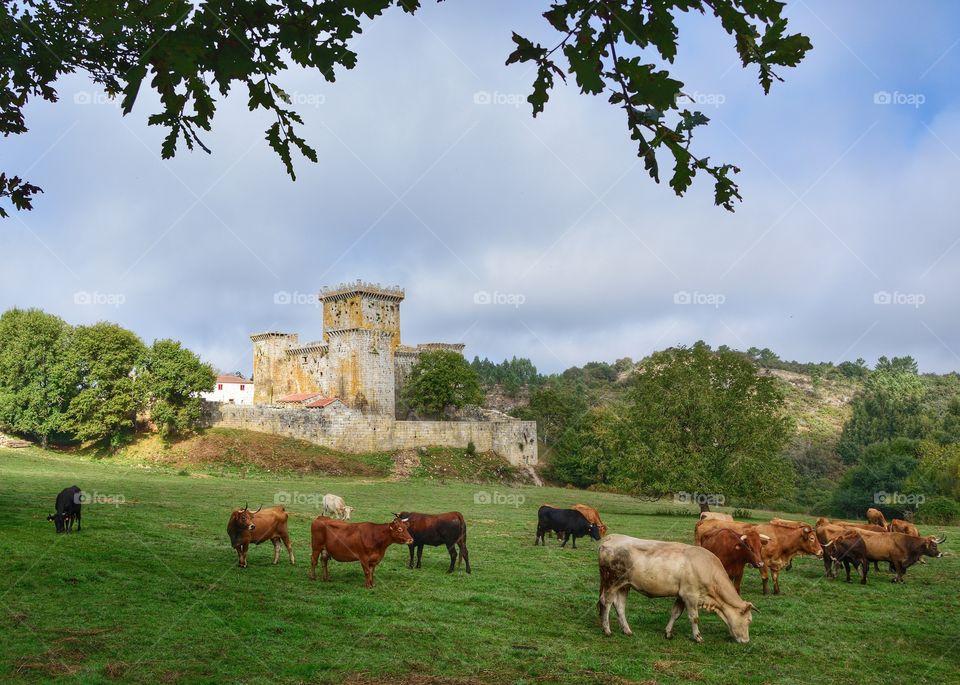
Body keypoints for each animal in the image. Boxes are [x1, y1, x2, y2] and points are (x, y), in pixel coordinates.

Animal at [596, 536, 752, 640]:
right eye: (749, 620)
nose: (746, 641)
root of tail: (612, 537)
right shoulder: (690, 595)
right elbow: (694, 617)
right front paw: (697, 637)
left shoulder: (681, 595)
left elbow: (675, 613)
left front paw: (668, 633)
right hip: (612, 582)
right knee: (606, 602)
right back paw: (607, 630)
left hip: (624, 585)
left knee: (620, 606)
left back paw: (627, 630)